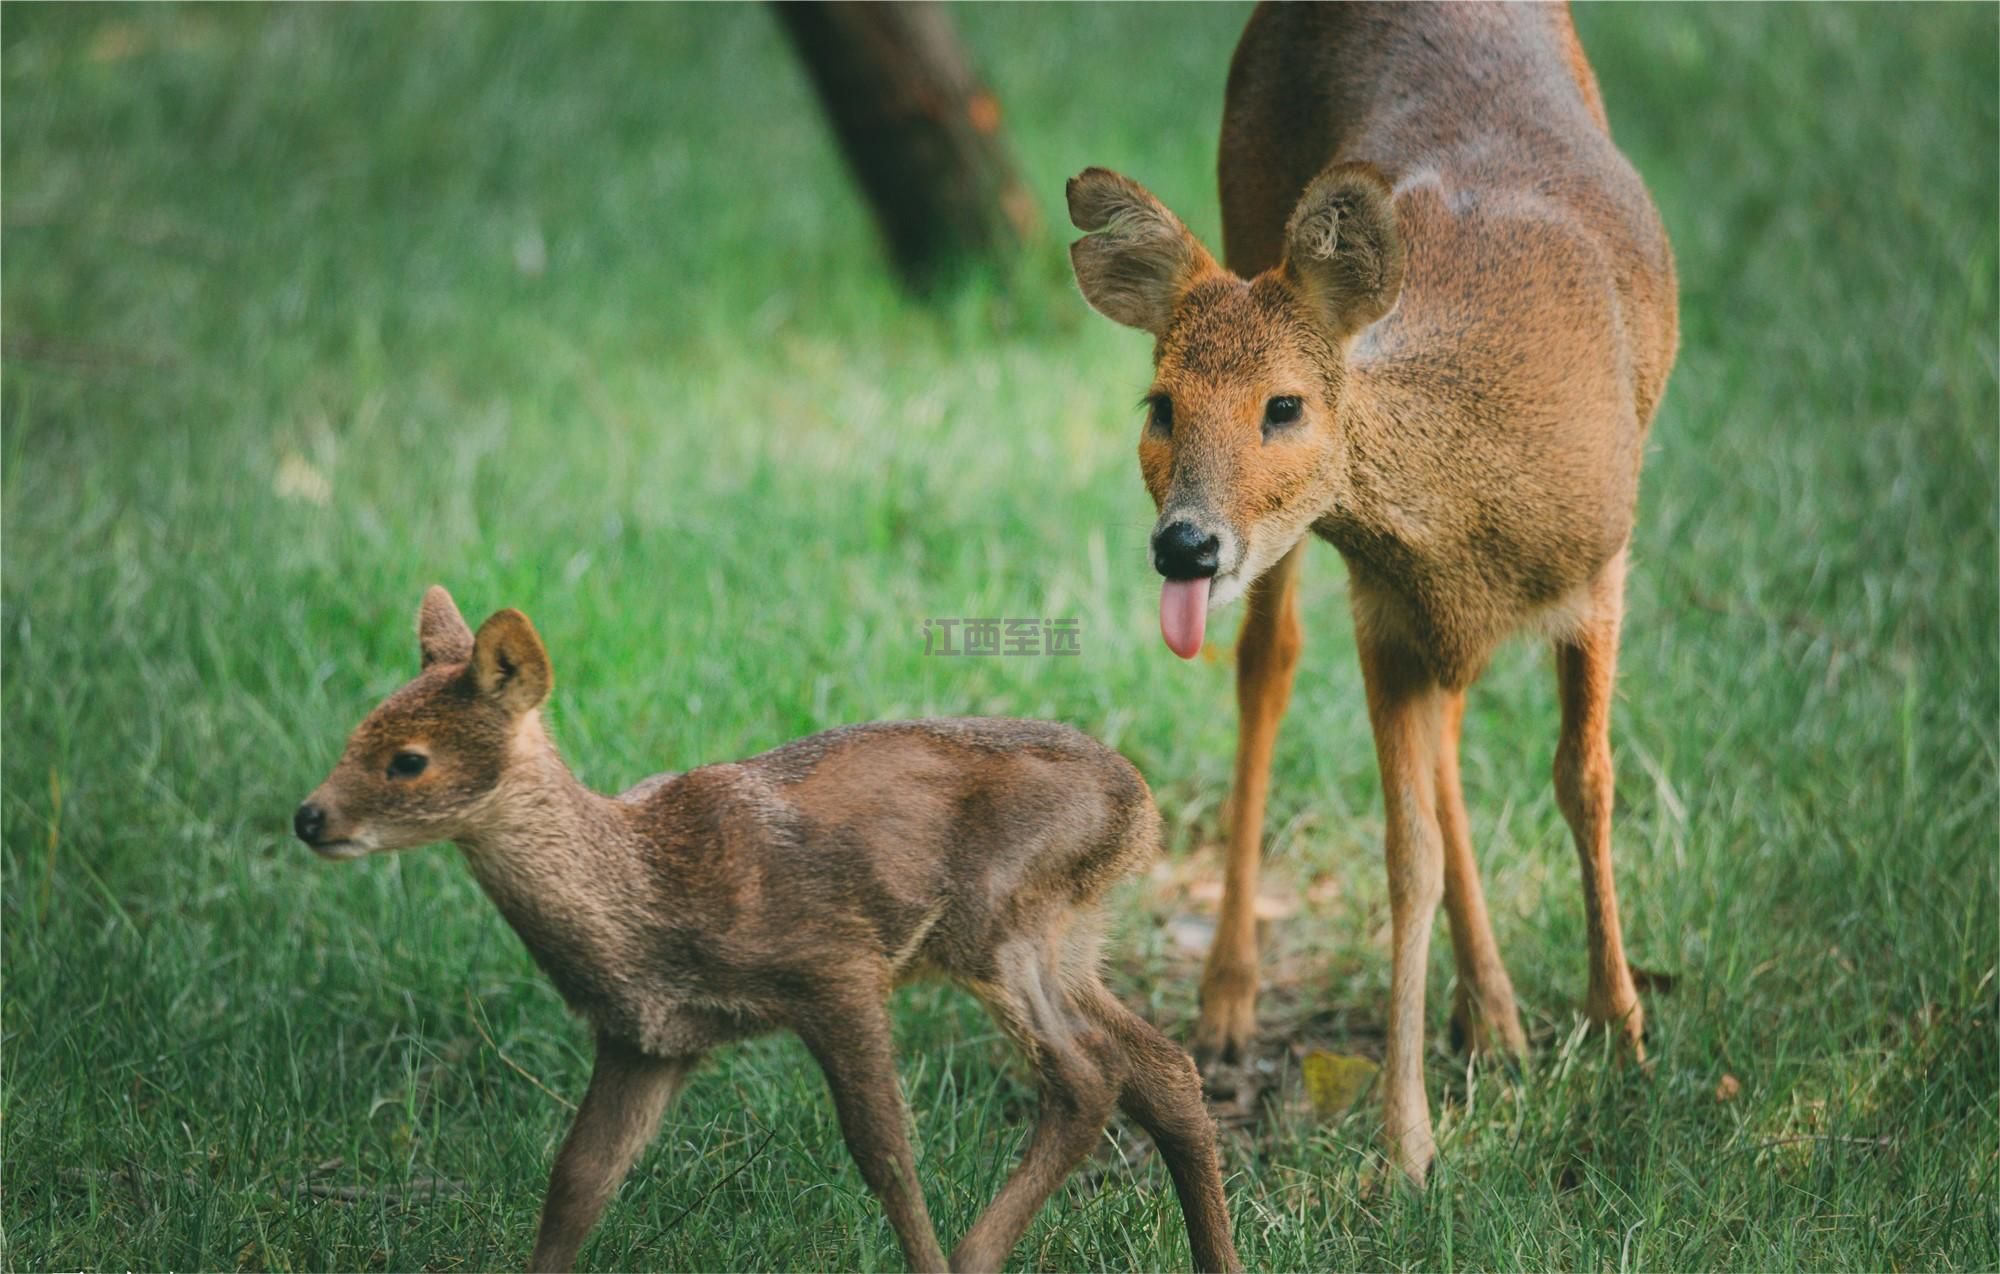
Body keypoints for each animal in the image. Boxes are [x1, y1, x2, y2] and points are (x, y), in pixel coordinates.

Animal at [294, 588, 1232, 1272]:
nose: (308, 816)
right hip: (1067, 939)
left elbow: (885, 1152)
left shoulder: (835, 968)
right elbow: (578, 1180)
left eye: (408, 760)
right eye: (353, 734)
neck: (647, 896)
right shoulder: (646, 1040)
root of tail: (1141, 807)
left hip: (999, 919)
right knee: (1163, 1067)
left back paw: (974, 1256)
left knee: (1085, 1077)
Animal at [1072, 0, 1680, 1176]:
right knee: (1268, 662)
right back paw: (1235, 999)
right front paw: (1409, 1146)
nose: (1184, 546)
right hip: (1244, 193)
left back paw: (1495, 1015)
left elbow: (1584, 782)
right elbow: (1409, 858)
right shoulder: (1386, 614)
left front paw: (1623, 1033)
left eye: (1284, 405)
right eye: (1159, 404)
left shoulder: (1599, 567)